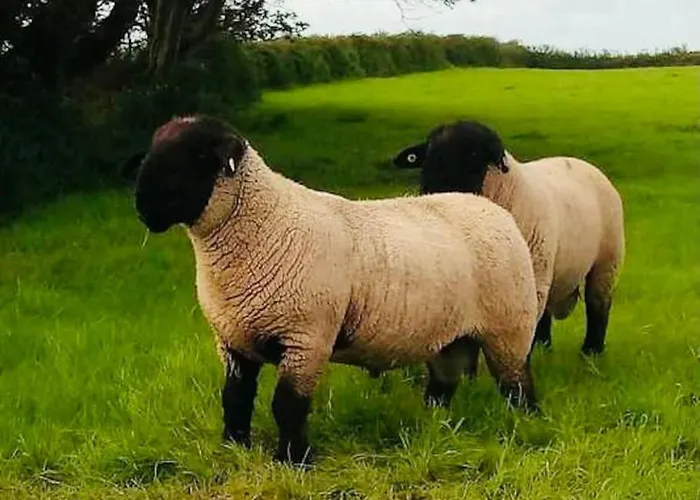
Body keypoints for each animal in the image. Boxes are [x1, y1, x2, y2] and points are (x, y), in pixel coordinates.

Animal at [122, 114, 540, 467]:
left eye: (197, 155)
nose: (143, 207)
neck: (261, 225)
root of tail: (488, 207)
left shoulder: (306, 337)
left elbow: (287, 405)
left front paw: (293, 460)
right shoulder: (232, 339)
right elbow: (235, 399)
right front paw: (234, 448)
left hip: (509, 327)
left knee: (517, 384)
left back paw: (527, 424)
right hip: (447, 335)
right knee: (443, 381)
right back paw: (434, 423)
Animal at [392, 120, 625, 356]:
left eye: (475, 155)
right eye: (428, 154)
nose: (433, 191)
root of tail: (580, 162)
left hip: (606, 260)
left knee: (598, 304)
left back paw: (591, 351)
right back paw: (544, 346)